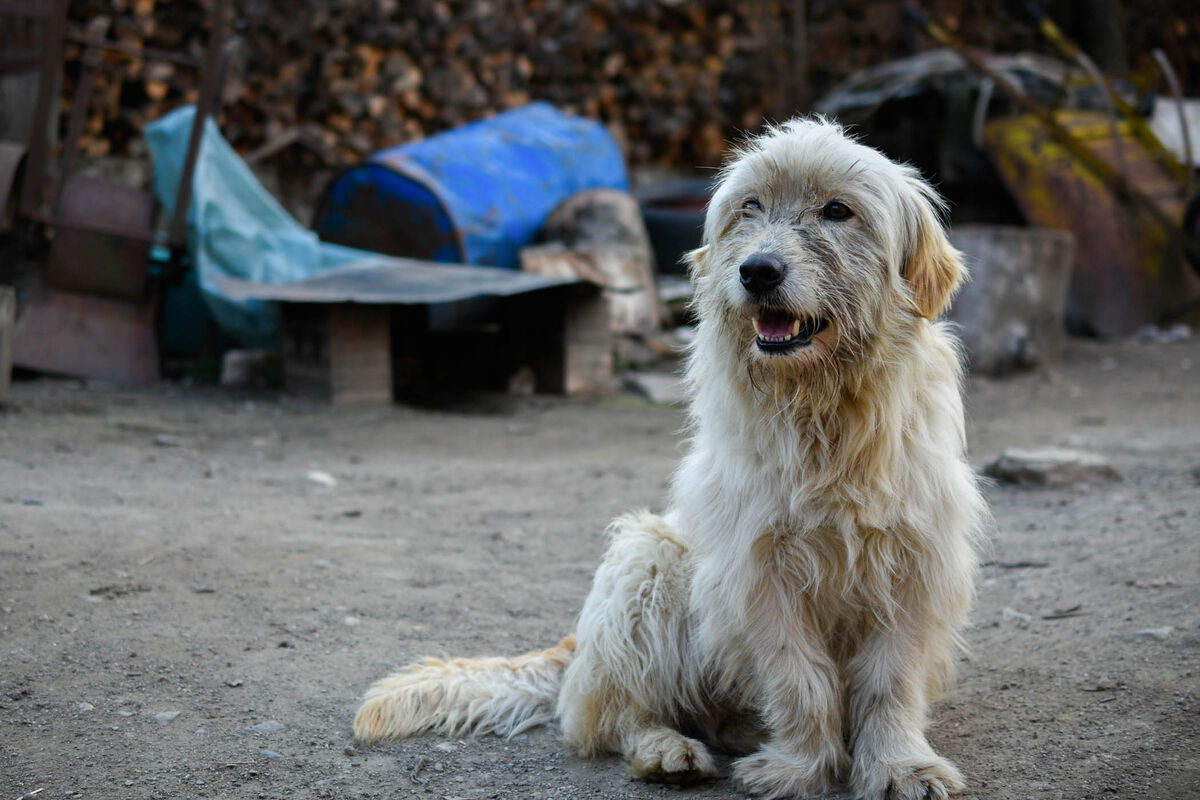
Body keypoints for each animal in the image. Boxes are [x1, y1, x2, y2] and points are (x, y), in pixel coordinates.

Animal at [352, 118, 984, 800]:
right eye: (749, 207)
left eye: (838, 211)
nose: (758, 271)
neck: (824, 414)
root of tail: (576, 650)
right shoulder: (760, 572)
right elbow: (798, 677)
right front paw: (800, 768)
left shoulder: (913, 566)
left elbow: (890, 681)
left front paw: (899, 766)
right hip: (647, 562)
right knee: (621, 715)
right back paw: (665, 750)